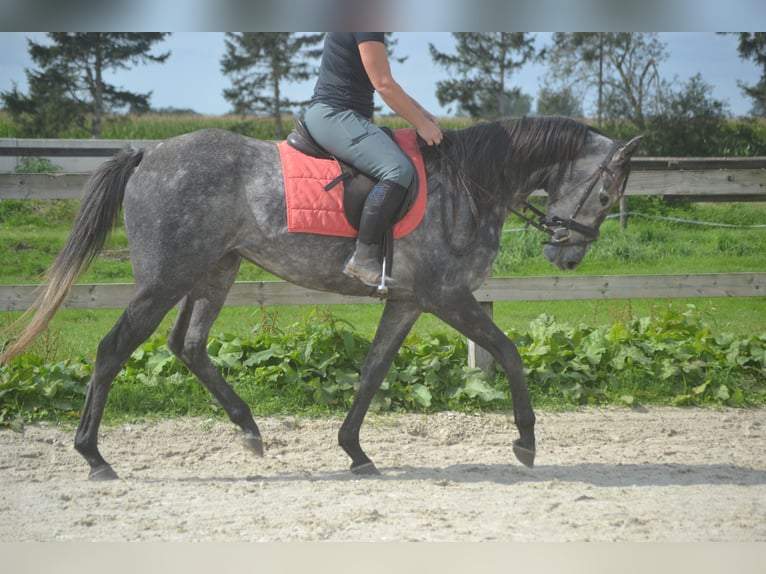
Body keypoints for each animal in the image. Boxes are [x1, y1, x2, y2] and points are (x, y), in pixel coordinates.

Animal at [3, 115, 644, 480]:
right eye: (607, 192)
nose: (567, 256)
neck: (469, 183)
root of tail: (147, 154)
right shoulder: (447, 296)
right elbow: (509, 353)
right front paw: (527, 441)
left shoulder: (408, 301)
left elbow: (373, 370)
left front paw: (354, 451)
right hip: (164, 280)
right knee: (114, 349)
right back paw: (94, 457)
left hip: (215, 271)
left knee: (189, 345)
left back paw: (249, 430)